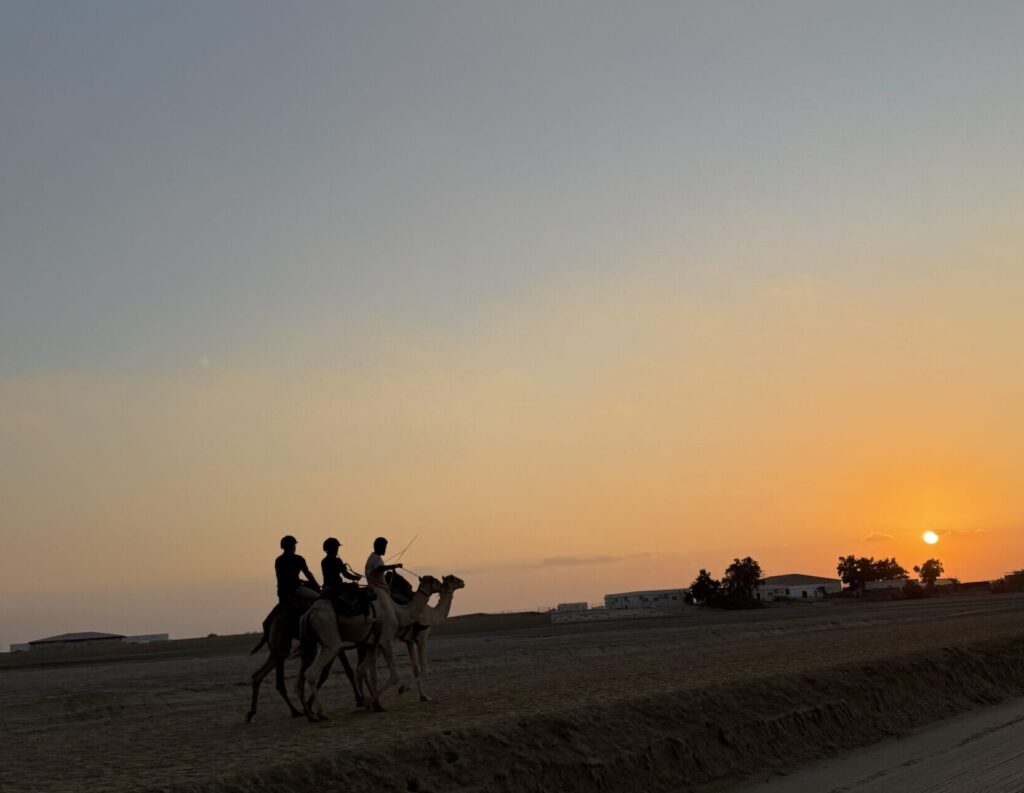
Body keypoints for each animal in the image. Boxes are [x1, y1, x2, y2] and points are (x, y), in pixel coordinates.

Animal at [296, 573, 440, 725]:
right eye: (435, 581)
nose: (442, 585)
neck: (398, 610)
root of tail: (309, 613)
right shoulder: (386, 640)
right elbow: (394, 675)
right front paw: (372, 702)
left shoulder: (372, 643)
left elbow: (371, 672)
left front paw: (376, 704)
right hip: (330, 639)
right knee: (311, 673)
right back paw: (320, 713)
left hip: (310, 642)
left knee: (303, 676)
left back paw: (309, 713)